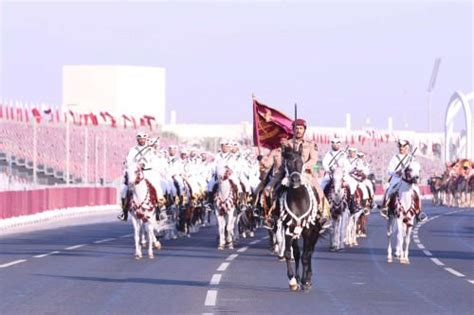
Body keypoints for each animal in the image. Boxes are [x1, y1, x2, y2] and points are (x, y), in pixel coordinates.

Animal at [280, 147, 320, 292]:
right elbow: (289, 253)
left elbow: (305, 256)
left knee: (309, 252)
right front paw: (292, 280)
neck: (298, 199)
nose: (296, 180)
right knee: (297, 252)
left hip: (315, 231)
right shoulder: (288, 227)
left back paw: (307, 279)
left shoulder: (308, 230)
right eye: (287, 163)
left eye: (301, 162)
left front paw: (305, 281)